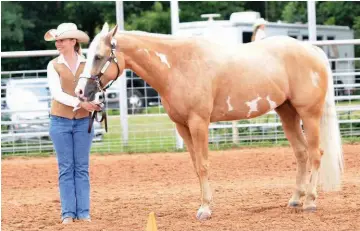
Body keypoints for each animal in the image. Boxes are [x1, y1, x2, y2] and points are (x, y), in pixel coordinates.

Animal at [75, 23, 344, 220]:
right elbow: (196, 166)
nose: (80, 92)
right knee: (301, 153)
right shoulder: (182, 127)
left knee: (315, 153)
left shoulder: (199, 123)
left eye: (98, 57)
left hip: (309, 114)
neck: (178, 66)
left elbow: (204, 165)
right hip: (287, 113)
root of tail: (313, 50)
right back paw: (295, 199)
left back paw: (310, 201)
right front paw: (205, 203)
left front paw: (205, 209)